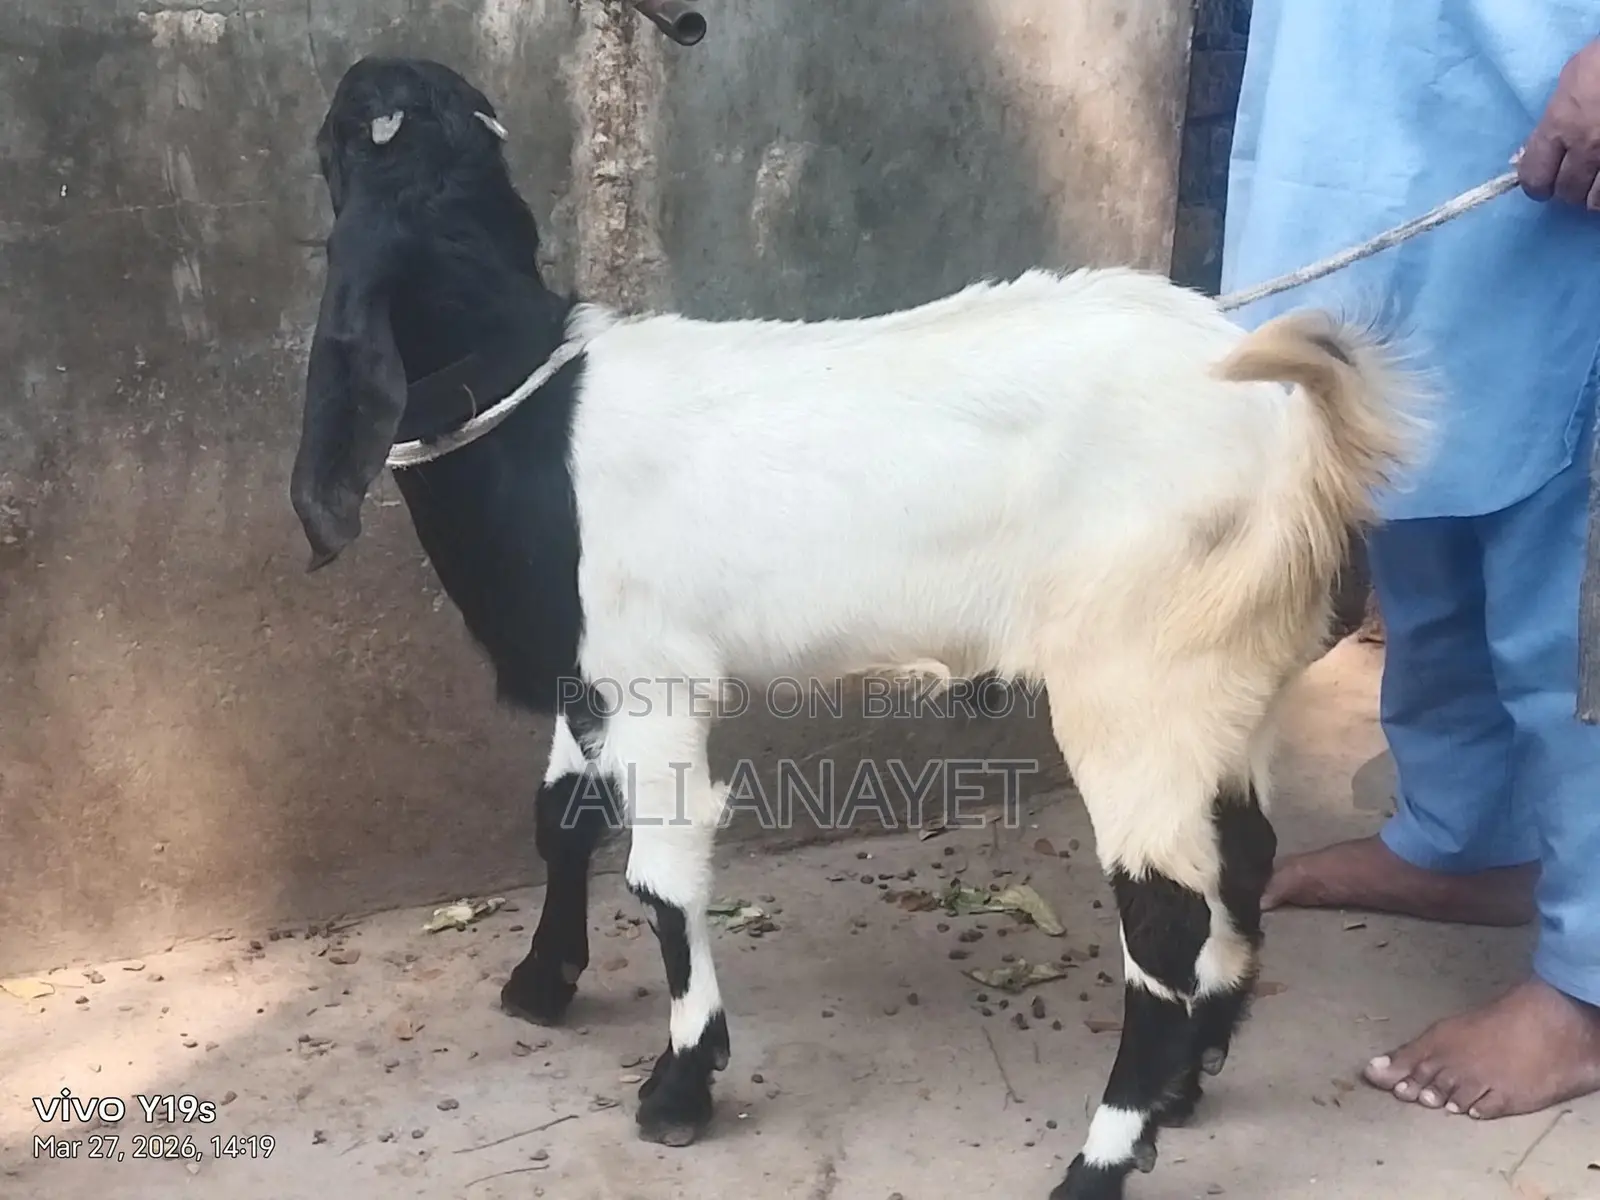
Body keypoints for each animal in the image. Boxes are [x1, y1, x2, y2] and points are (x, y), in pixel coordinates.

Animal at [290, 56, 1425, 1200]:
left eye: (347, 134)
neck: (533, 412)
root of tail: (1298, 430)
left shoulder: (657, 679)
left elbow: (659, 877)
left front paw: (680, 1085)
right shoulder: (589, 674)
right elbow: (560, 817)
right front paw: (541, 982)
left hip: (1134, 678)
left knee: (1165, 915)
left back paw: (1098, 1159)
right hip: (1232, 679)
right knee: (1243, 856)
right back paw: (1185, 1085)